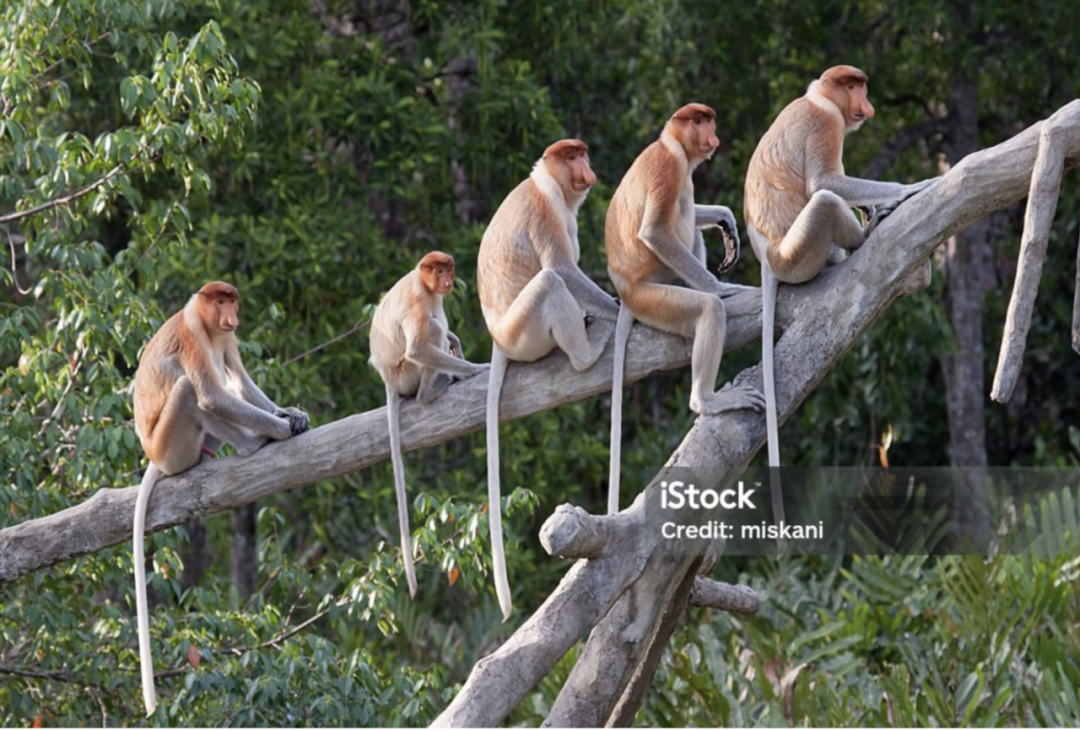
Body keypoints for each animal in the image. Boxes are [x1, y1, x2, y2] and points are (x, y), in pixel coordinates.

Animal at [131, 281, 310, 715]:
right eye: (220, 300)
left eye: (232, 301)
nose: (230, 314)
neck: (209, 324)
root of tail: (153, 454)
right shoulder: (194, 334)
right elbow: (212, 395)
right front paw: (279, 428)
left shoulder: (227, 337)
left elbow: (241, 381)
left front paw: (289, 412)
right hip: (173, 445)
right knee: (190, 390)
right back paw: (251, 443)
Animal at [368, 251, 489, 601]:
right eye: (438, 270)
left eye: (448, 269)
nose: (447, 280)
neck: (422, 282)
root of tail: (389, 381)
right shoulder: (419, 300)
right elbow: (419, 347)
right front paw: (474, 368)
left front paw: (456, 342)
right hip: (406, 374)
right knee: (430, 331)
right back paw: (432, 389)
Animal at [477, 138, 619, 619]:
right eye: (571, 156)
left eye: (583, 154)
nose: (587, 170)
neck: (547, 183)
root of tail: (499, 337)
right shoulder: (544, 211)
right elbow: (564, 268)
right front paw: (618, 309)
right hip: (526, 331)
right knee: (550, 282)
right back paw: (587, 351)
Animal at [605, 103, 764, 514]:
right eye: (700, 121)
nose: (713, 136)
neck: (671, 144)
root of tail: (625, 290)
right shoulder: (670, 168)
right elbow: (655, 232)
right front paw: (723, 288)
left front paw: (726, 219)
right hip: (655, 296)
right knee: (705, 307)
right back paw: (707, 400)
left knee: (690, 224)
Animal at [743, 65, 937, 537]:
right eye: (852, 86)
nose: (866, 104)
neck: (818, 97)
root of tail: (769, 259)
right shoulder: (826, 124)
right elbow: (825, 182)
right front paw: (909, 189)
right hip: (800, 254)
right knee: (827, 200)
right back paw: (865, 234)